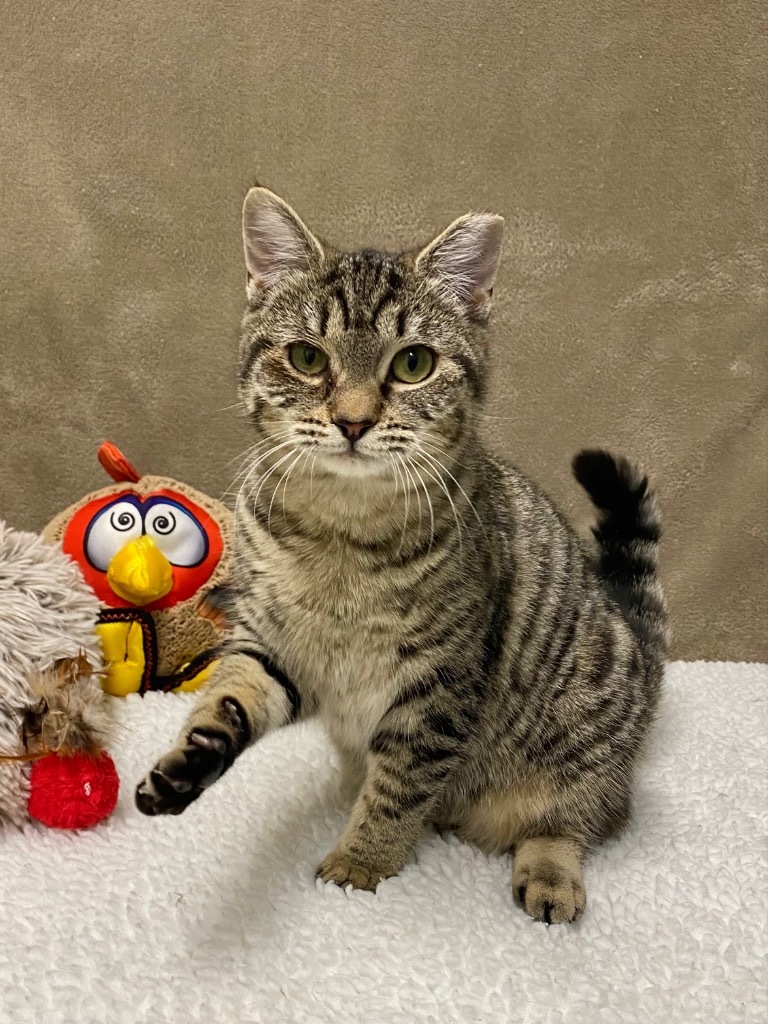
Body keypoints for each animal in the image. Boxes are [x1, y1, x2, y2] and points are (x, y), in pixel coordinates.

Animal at [137, 188, 667, 925]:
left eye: (413, 363)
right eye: (306, 358)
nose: (353, 420)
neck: (340, 534)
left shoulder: (439, 688)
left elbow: (399, 788)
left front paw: (362, 861)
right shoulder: (274, 646)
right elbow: (231, 699)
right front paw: (194, 758)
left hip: (579, 750)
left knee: (571, 822)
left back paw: (549, 875)